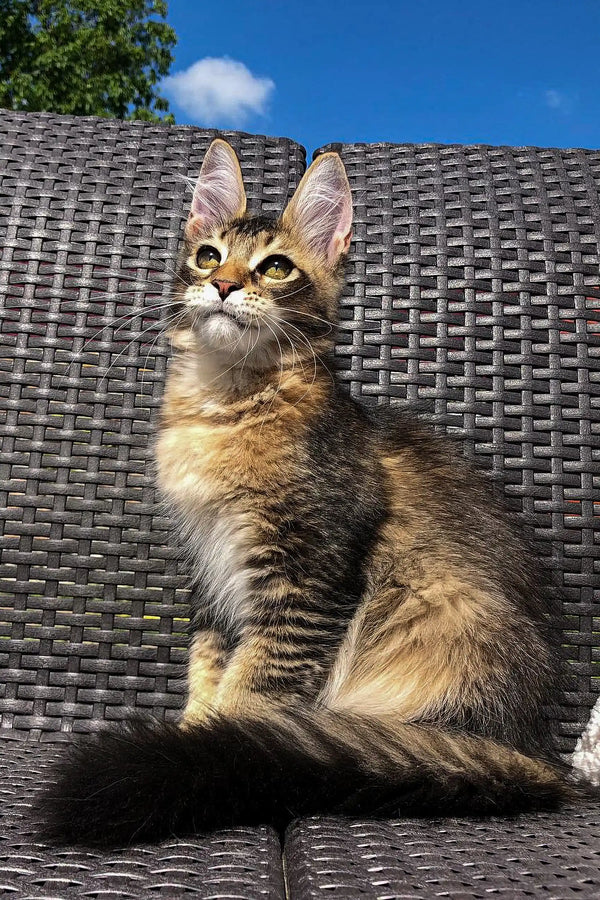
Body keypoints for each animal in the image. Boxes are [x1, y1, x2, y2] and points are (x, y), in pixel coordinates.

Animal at [38, 139, 584, 844]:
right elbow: (208, 668)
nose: (223, 285)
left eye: (274, 268)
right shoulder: (216, 571)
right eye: (208, 255)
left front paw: (213, 753)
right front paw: (193, 731)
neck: (228, 403)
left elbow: (253, 688)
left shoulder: (305, 575)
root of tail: (526, 748)